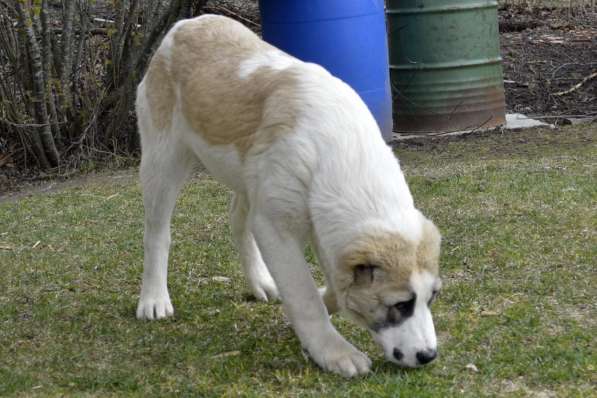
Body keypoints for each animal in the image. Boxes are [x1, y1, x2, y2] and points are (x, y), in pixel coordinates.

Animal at [136, 14, 442, 376]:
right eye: (401, 305)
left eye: (431, 298)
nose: (428, 355)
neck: (342, 155)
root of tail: (187, 23)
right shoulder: (276, 225)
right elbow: (303, 294)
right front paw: (334, 350)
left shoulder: (323, 228)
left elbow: (332, 286)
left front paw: (322, 306)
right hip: (163, 160)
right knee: (157, 232)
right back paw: (154, 299)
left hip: (250, 177)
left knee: (238, 219)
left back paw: (260, 281)